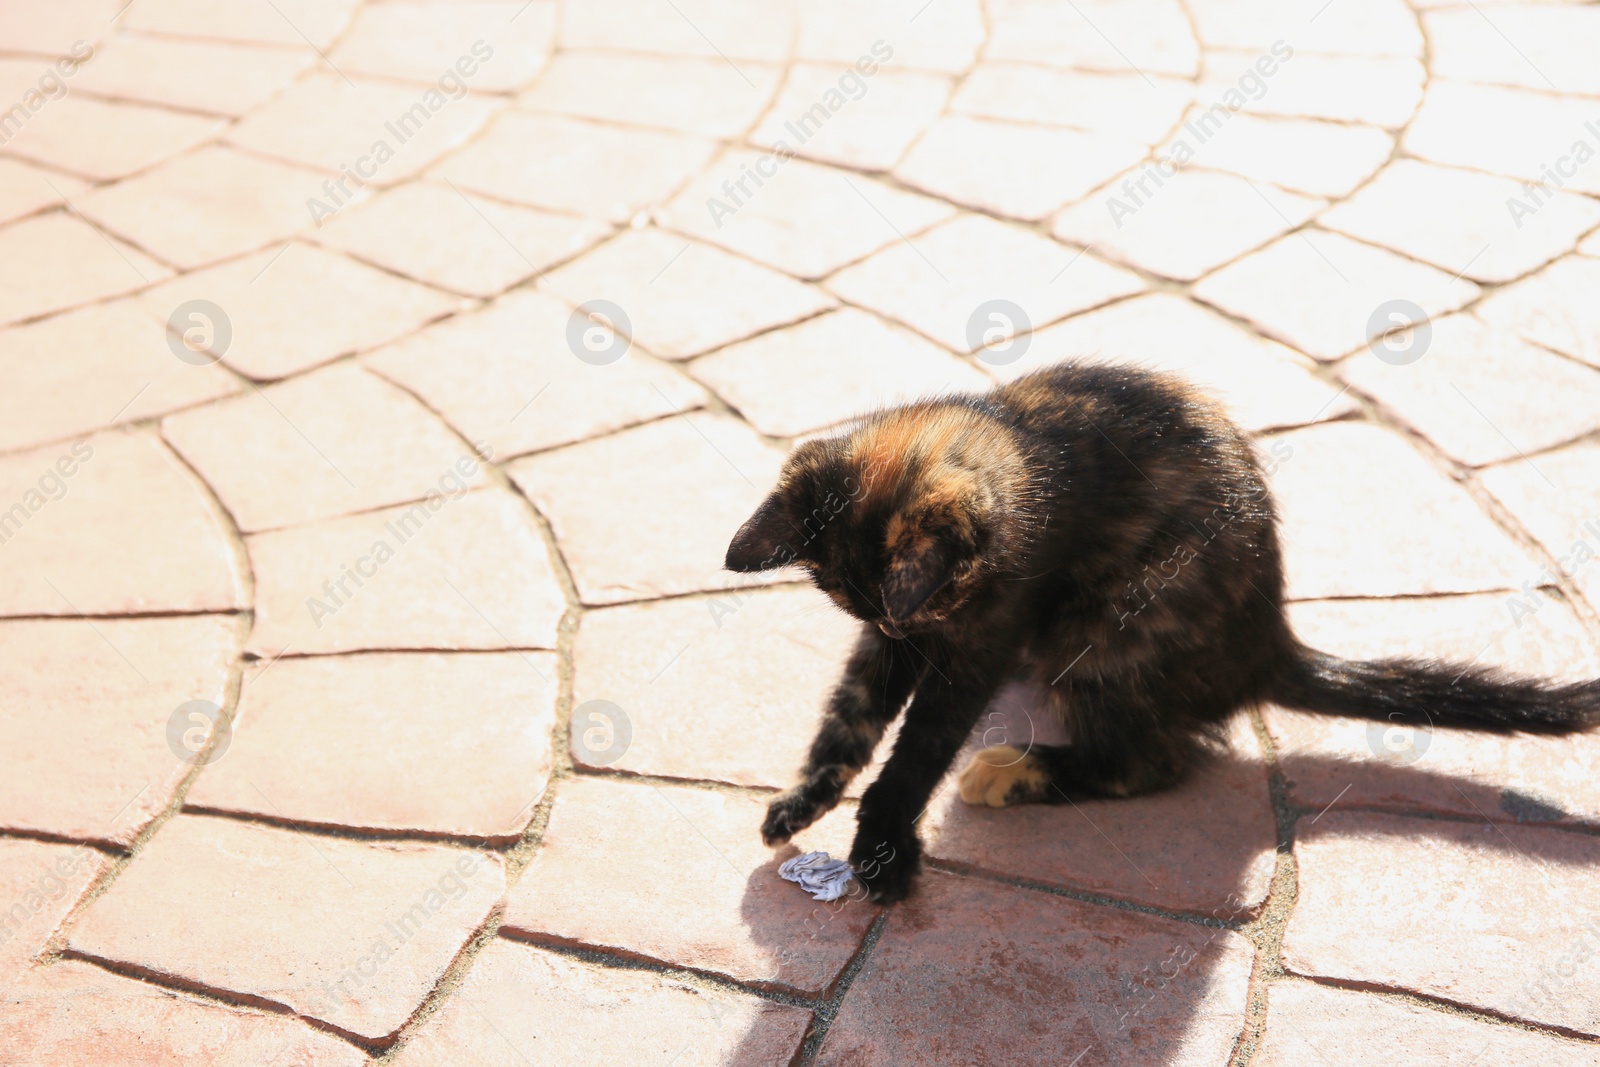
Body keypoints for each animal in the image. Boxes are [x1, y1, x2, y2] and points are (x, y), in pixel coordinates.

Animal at [726, 363, 1600, 908]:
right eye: (861, 612)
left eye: (925, 608)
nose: (899, 624)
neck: (1012, 445)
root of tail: (1265, 643)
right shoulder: (896, 645)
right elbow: (851, 714)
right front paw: (806, 797)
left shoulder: (979, 638)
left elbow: (918, 748)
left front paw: (881, 842)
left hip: (1106, 626)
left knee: (1150, 760)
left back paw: (1016, 768)